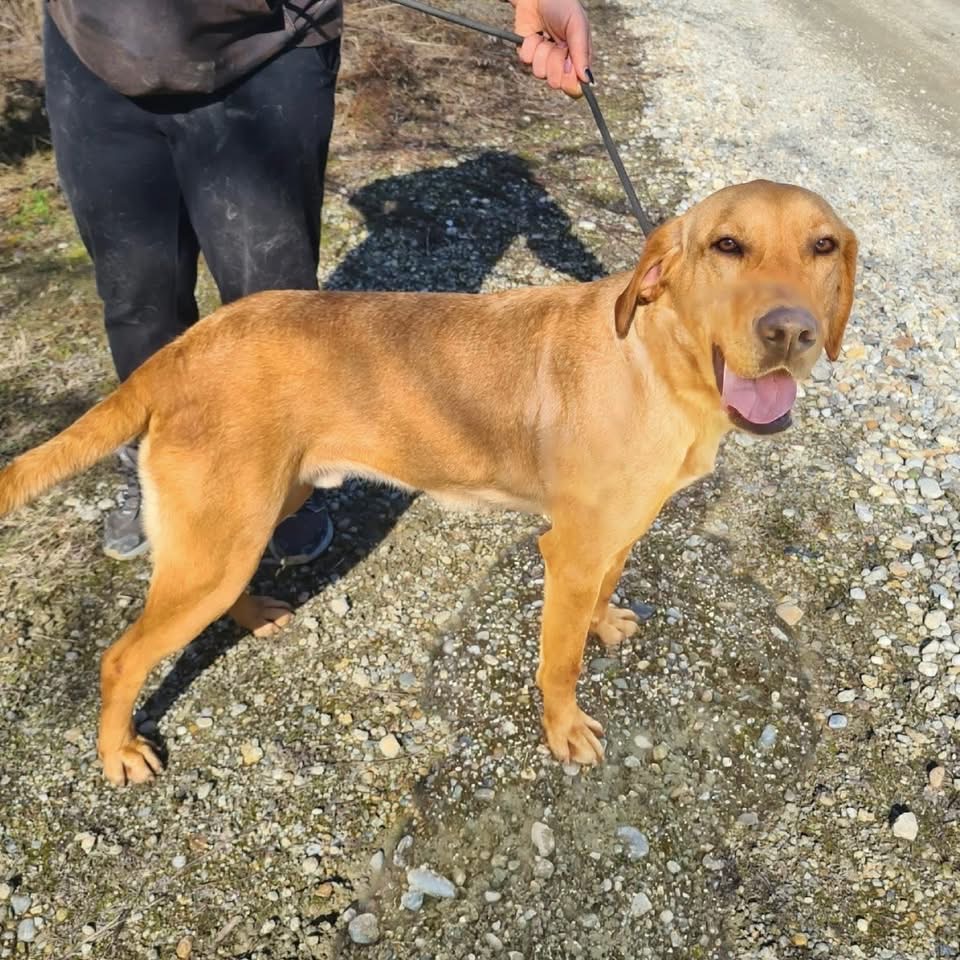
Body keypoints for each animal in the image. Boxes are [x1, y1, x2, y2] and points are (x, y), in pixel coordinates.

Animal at [0, 180, 857, 786]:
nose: (791, 333)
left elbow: (605, 593)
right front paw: (564, 730)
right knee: (121, 658)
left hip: (257, 513)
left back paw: (254, 615)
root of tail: (182, 347)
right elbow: (558, 662)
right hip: (219, 538)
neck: (656, 359)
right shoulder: (568, 551)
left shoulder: (617, 533)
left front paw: (606, 623)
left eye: (822, 246)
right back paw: (118, 753)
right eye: (726, 244)